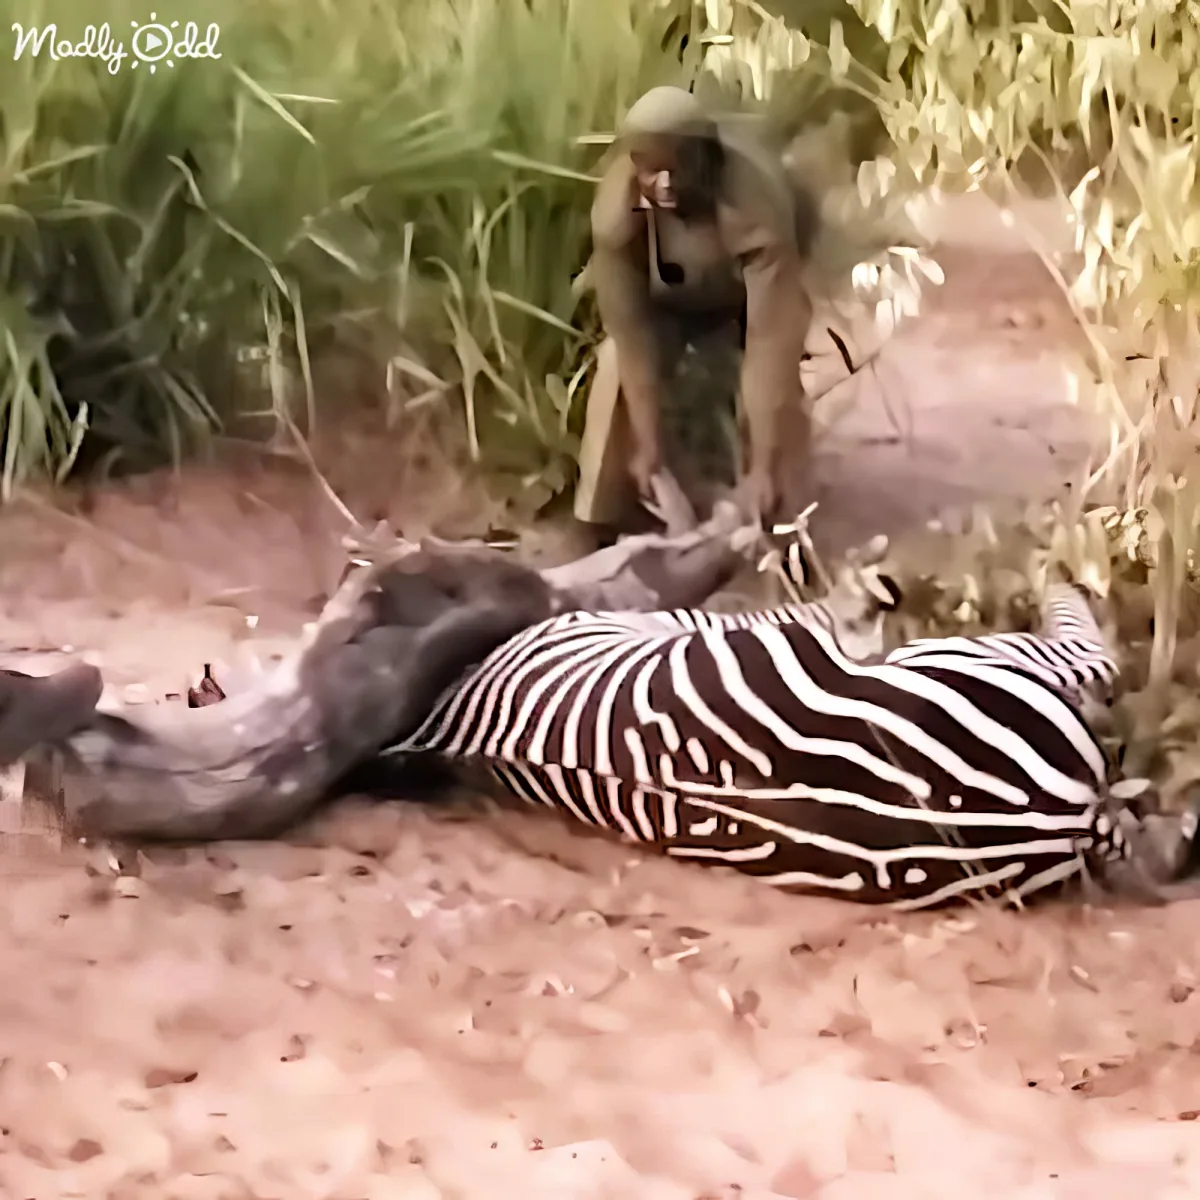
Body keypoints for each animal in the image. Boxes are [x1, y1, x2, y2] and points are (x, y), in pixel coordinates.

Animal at [392, 579, 1134, 910]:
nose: (887, 590)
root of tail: (1068, 817)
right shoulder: (702, 623)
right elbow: (797, 612)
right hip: (959, 661)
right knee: (1088, 656)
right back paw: (1065, 586)